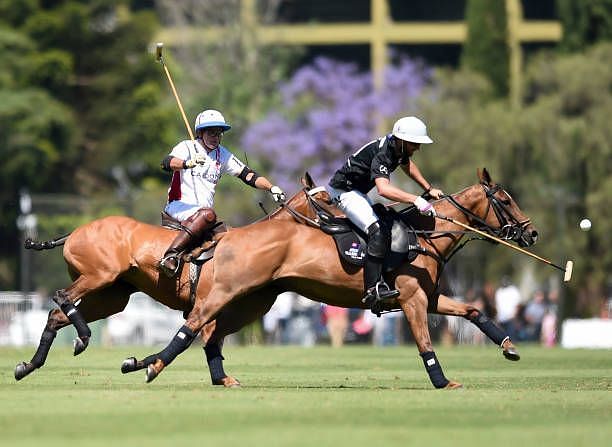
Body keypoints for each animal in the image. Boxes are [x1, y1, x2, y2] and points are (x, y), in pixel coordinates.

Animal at [130, 170, 536, 390]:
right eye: (505, 200)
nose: (531, 234)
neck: (424, 235)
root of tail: (229, 235)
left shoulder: (429, 297)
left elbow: (473, 311)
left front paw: (510, 347)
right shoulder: (412, 299)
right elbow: (424, 342)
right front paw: (442, 381)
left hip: (255, 301)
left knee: (211, 334)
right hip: (230, 292)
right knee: (194, 326)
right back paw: (151, 366)